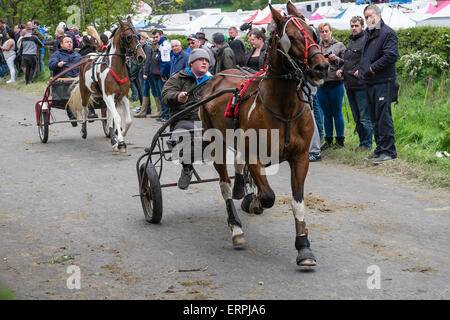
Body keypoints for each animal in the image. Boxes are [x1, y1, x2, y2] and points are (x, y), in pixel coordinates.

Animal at [74, 17, 144, 152]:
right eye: (128, 37)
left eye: (138, 36)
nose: (141, 56)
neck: (115, 68)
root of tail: (87, 57)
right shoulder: (108, 95)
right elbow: (117, 118)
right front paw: (121, 142)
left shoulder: (123, 97)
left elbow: (127, 120)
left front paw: (120, 135)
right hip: (85, 91)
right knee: (85, 109)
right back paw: (83, 130)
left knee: (109, 117)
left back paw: (112, 137)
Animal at [200, 2, 326, 266]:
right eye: (291, 37)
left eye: (313, 32)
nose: (322, 66)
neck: (284, 108)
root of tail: (217, 77)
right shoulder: (255, 156)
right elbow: (268, 196)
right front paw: (255, 202)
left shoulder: (300, 157)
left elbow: (297, 202)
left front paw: (304, 246)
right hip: (215, 141)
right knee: (224, 186)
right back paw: (236, 227)